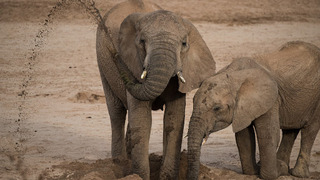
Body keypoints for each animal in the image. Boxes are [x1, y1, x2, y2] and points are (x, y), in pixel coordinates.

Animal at [95, 0, 215, 179]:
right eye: (142, 41)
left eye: (184, 44)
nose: (115, 54)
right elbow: (143, 120)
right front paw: (139, 176)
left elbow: (174, 119)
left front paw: (167, 177)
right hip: (102, 61)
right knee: (116, 112)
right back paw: (118, 162)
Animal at [188, 41, 320, 180]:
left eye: (217, 108)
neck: (234, 75)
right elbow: (244, 137)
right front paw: (258, 170)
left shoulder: (271, 100)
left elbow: (269, 136)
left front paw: (275, 171)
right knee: (290, 131)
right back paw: (283, 164)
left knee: (310, 130)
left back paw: (297, 173)